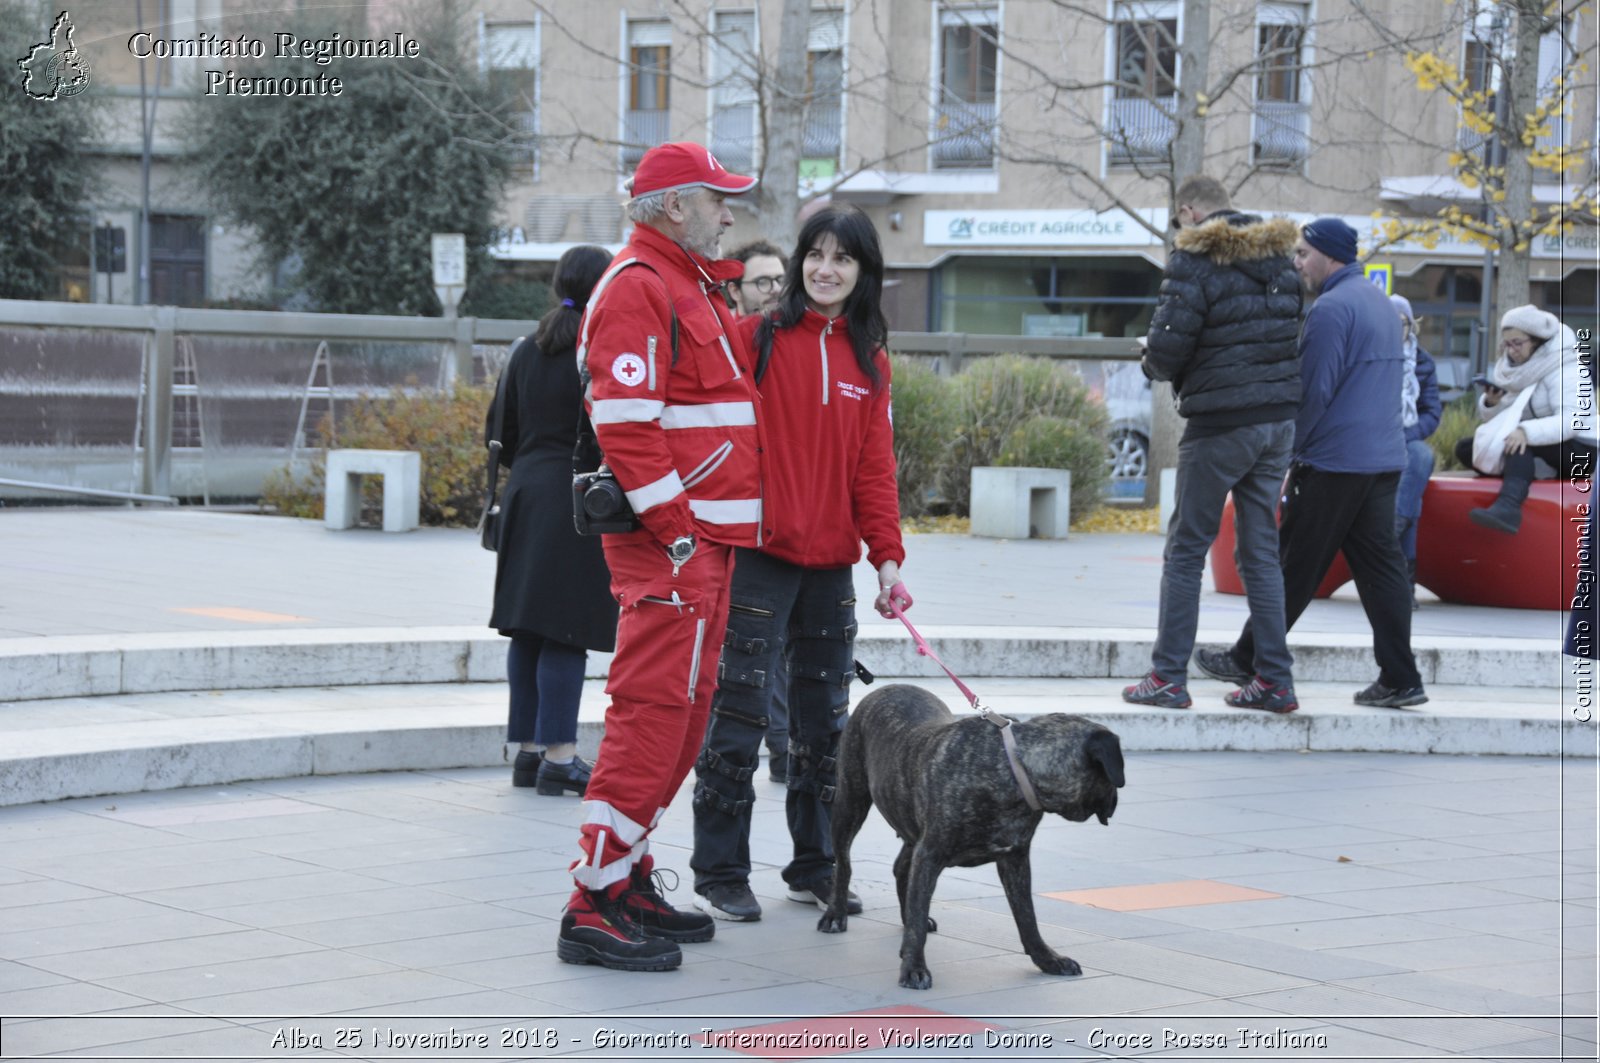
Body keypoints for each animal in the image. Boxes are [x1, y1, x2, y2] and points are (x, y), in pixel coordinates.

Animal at [812, 685, 1126, 992]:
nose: (1116, 798)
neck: (1012, 769)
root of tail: (883, 689)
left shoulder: (1014, 859)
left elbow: (1027, 916)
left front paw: (1047, 959)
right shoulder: (930, 855)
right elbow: (918, 913)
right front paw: (914, 967)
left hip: (909, 822)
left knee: (902, 869)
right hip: (850, 803)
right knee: (844, 863)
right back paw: (836, 914)